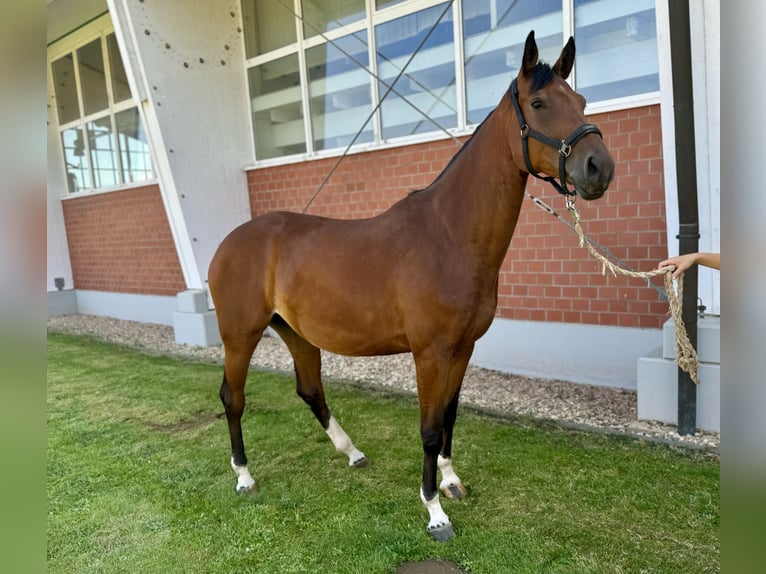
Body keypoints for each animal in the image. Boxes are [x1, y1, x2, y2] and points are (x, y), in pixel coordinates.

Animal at [207, 31, 616, 544]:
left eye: (580, 101)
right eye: (539, 103)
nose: (599, 167)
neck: (448, 236)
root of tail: (228, 243)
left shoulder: (462, 349)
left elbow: (449, 418)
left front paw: (452, 481)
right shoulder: (430, 354)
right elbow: (428, 428)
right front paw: (434, 510)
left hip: (295, 332)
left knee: (310, 389)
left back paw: (352, 452)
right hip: (240, 336)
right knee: (233, 398)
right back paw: (244, 475)